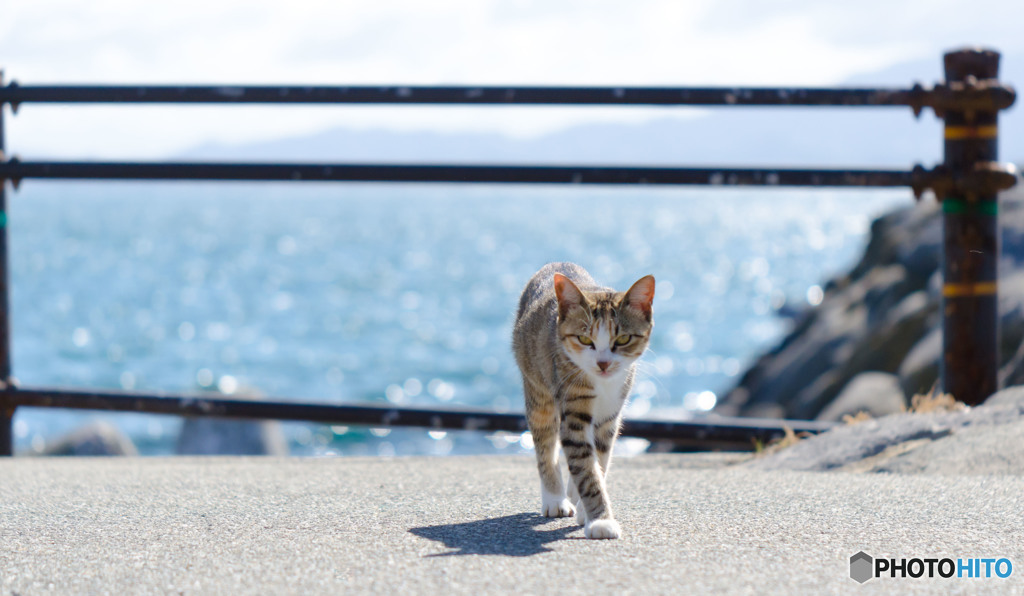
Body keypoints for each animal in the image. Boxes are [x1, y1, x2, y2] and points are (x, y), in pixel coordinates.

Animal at [512, 264, 655, 540]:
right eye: (585, 339)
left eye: (623, 340)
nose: (603, 363)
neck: (601, 385)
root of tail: (556, 263)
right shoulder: (573, 402)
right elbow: (586, 469)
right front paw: (600, 520)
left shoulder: (610, 414)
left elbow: (599, 460)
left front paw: (585, 511)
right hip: (537, 387)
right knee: (545, 444)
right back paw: (555, 498)